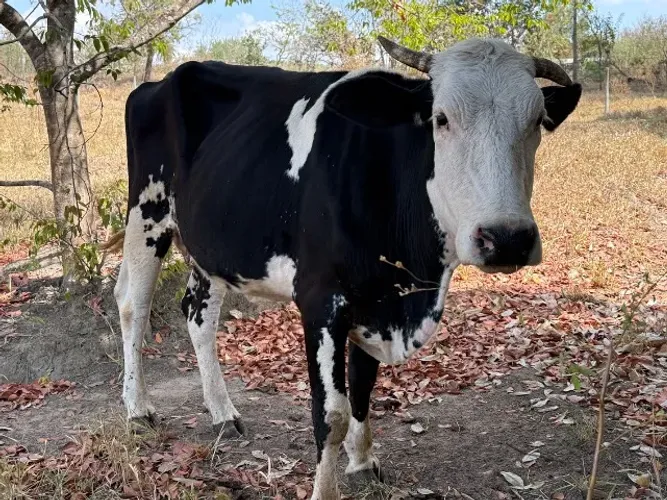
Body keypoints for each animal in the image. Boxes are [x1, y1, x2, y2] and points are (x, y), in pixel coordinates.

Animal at [106, 37, 581, 499]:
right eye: (441, 118)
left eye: (538, 121)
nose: (507, 238)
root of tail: (160, 82)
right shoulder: (321, 301)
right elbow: (331, 414)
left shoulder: (373, 299)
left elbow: (363, 390)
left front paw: (363, 460)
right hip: (147, 213)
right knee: (133, 303)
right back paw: (138, 409)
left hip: (210, 243)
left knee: (198, 314)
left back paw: (222, 412)